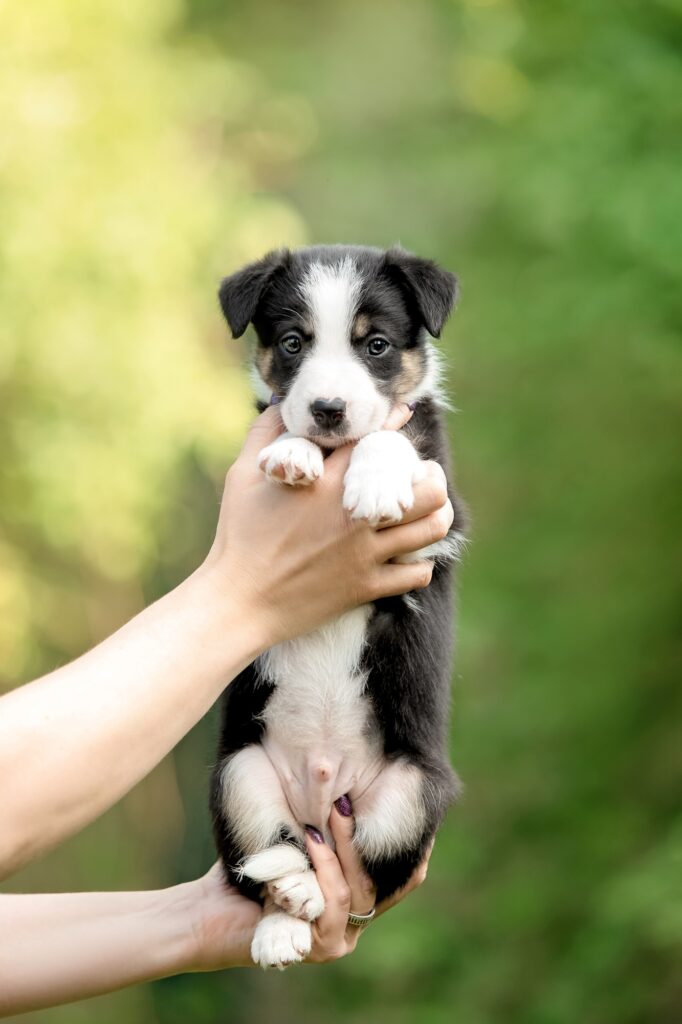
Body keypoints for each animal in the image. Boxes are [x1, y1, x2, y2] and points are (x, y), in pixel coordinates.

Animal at [210, 243, 466, 962]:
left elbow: (389, 436)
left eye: (375, 344)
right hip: (239, 777)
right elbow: (278, 418)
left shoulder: (439, 522)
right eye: (293, 343)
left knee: (363, 875)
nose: (327, 409)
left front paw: (373, 483)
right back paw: (286, 914)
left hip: (413, 795)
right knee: (274, 858)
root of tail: (321, 800)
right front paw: (291, 453)